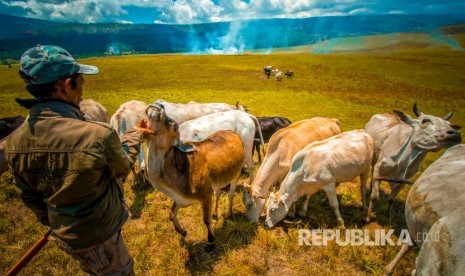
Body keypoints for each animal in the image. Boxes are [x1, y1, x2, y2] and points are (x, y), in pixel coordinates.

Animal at [144, 103, 245, 242]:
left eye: (175, 126)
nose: (158, 105)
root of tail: (231, 132)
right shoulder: (180, 198)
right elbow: (171, 214)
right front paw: (183, 231)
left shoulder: (206, 195)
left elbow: (206, 220)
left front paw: (211, 239)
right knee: (218, 193)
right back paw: (215, 213)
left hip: (236, 174)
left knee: (230, 194)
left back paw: (229, 214)